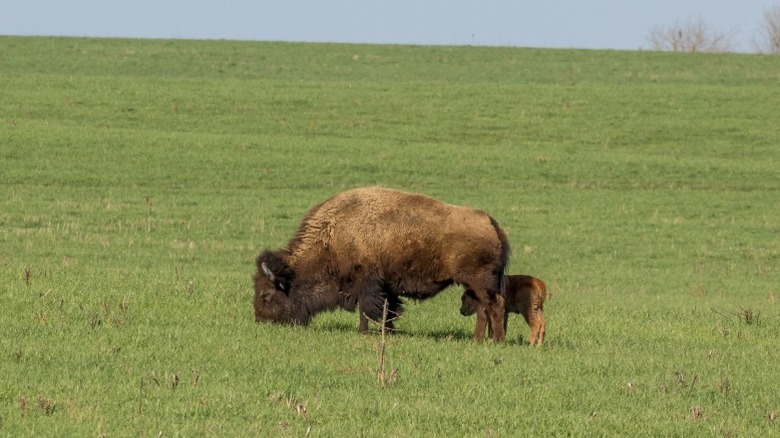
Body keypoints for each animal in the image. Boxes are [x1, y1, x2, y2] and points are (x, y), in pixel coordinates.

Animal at [253, 186, 512, 340]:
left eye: (266, 294)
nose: (260, 321)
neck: (332, 235)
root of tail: (491, 222)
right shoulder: (386, 287)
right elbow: (389, 310)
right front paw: (390, 332)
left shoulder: (367, 283)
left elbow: (367, 309)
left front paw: (363, 333)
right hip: (475, 285)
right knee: (483, 309)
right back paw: (479, 339)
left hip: (480, 282)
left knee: (495, 305)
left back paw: (496, 340)